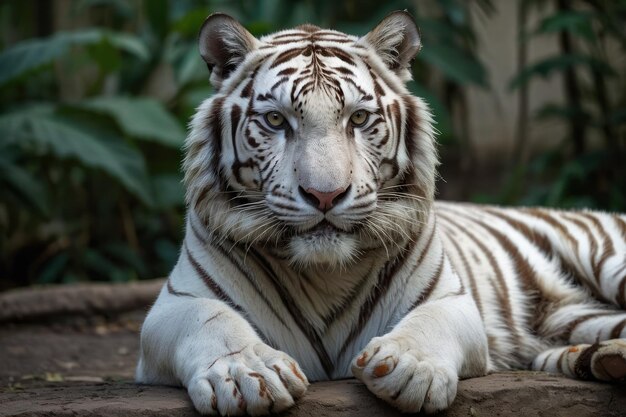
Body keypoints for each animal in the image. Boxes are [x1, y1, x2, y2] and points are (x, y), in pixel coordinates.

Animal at [136, 11, 624, 414]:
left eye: (357, 119)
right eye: (275, 121)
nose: (325, 195)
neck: (324, 273)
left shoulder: (451, 298)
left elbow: (429, 321)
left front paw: (409, 367)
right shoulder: (173, 305)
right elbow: (212, 320)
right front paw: (247, 374)